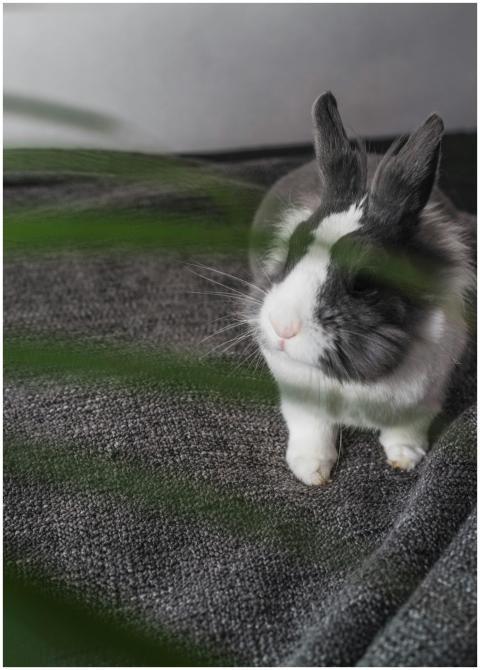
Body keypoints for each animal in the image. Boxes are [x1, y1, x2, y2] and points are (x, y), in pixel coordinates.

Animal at [246, 92, 474, 485]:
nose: (282, 327)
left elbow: (407, 429)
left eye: (364, 282)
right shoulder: (299, 398)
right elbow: (312, 429)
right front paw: (311, 472)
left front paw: (406, 459)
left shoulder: (426, 395)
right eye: (291, 249)